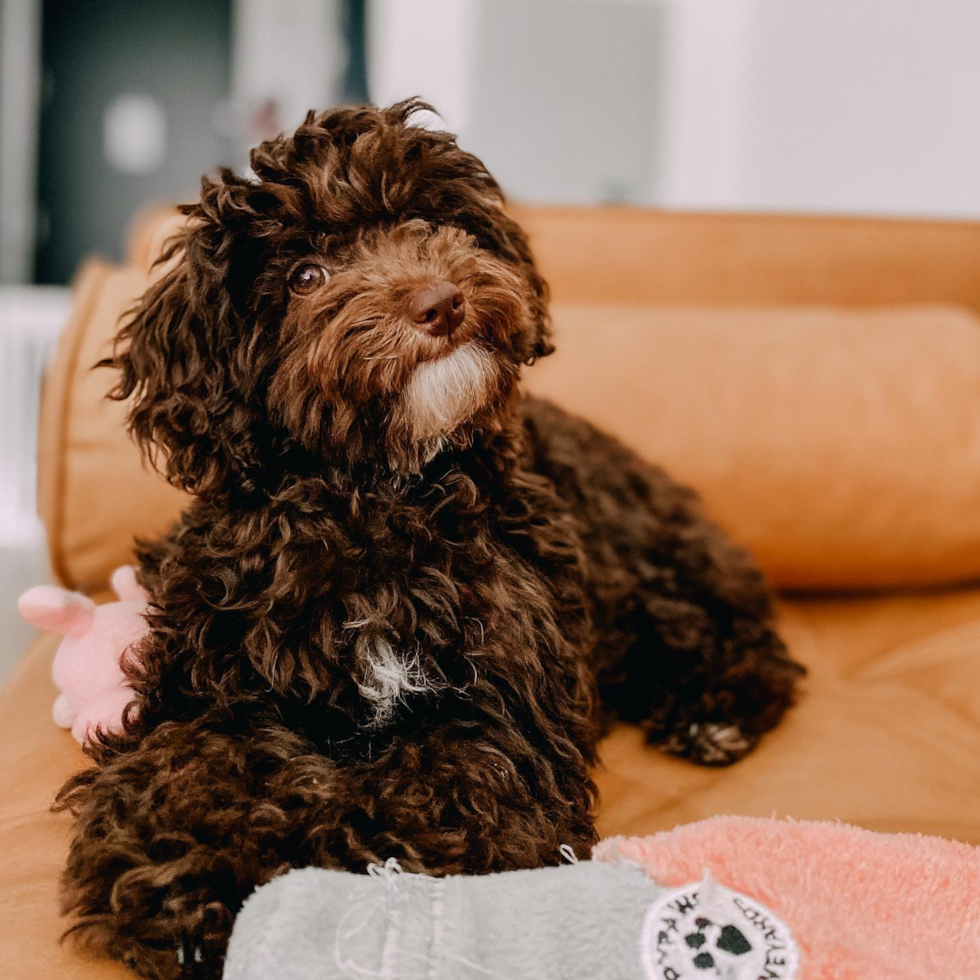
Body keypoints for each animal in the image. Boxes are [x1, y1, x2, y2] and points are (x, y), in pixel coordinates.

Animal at [55, 101, 804, 980]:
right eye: (305, 275)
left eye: (428, 221)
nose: (440, 302)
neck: (376, 502)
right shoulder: (211, 689)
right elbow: (188, 770)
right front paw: (186, 882)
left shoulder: (496, 725)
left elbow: (420, 801)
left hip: (657, 573)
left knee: (735, 637)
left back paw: (713, 714)